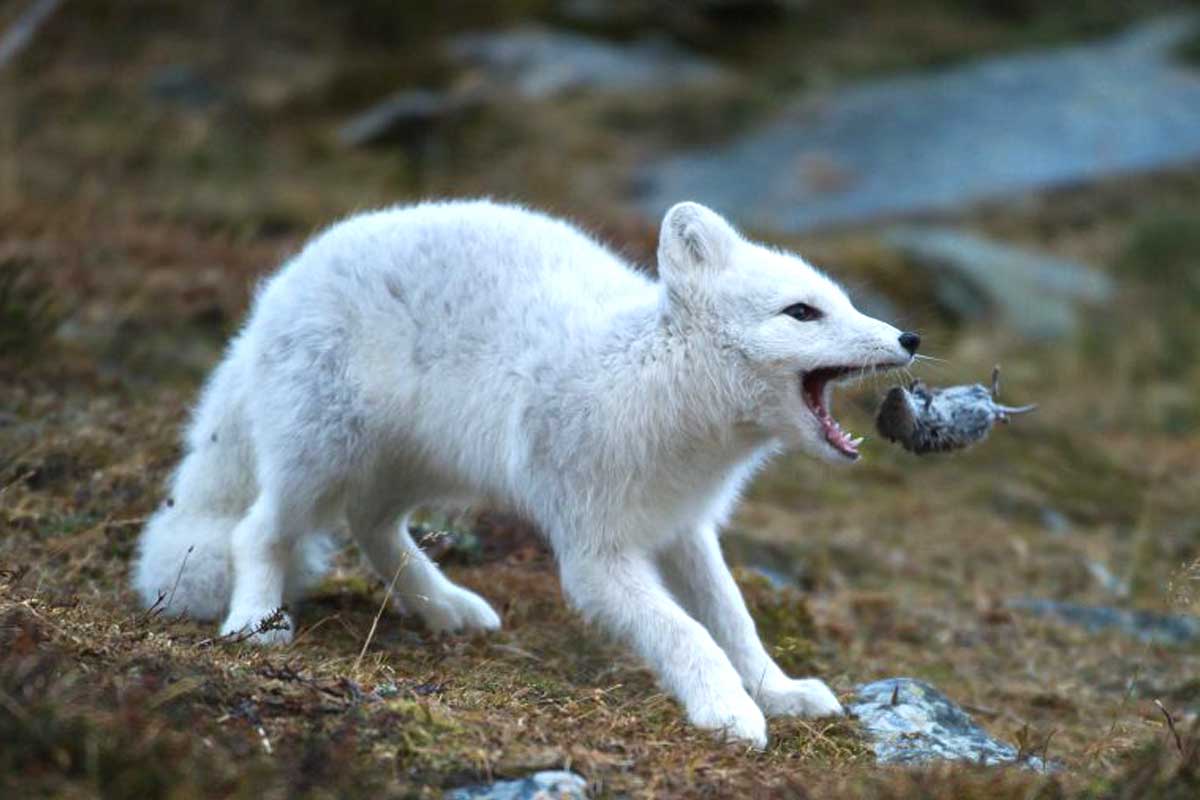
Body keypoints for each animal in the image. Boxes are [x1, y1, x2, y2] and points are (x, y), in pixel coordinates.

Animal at [133, 199, 916, 743]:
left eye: (843, 301)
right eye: (802, 313)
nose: (909, 337)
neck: (652, 381)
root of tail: (274, 292)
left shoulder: (684, 526)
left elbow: (734, 618)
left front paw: (777, 691)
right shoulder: (595, 554)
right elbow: (684, 632)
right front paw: (727, 711)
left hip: (418, 465)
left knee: (374, 527)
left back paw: (446, 608)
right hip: (321, 455)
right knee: (259, 531)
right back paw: (252, 622)